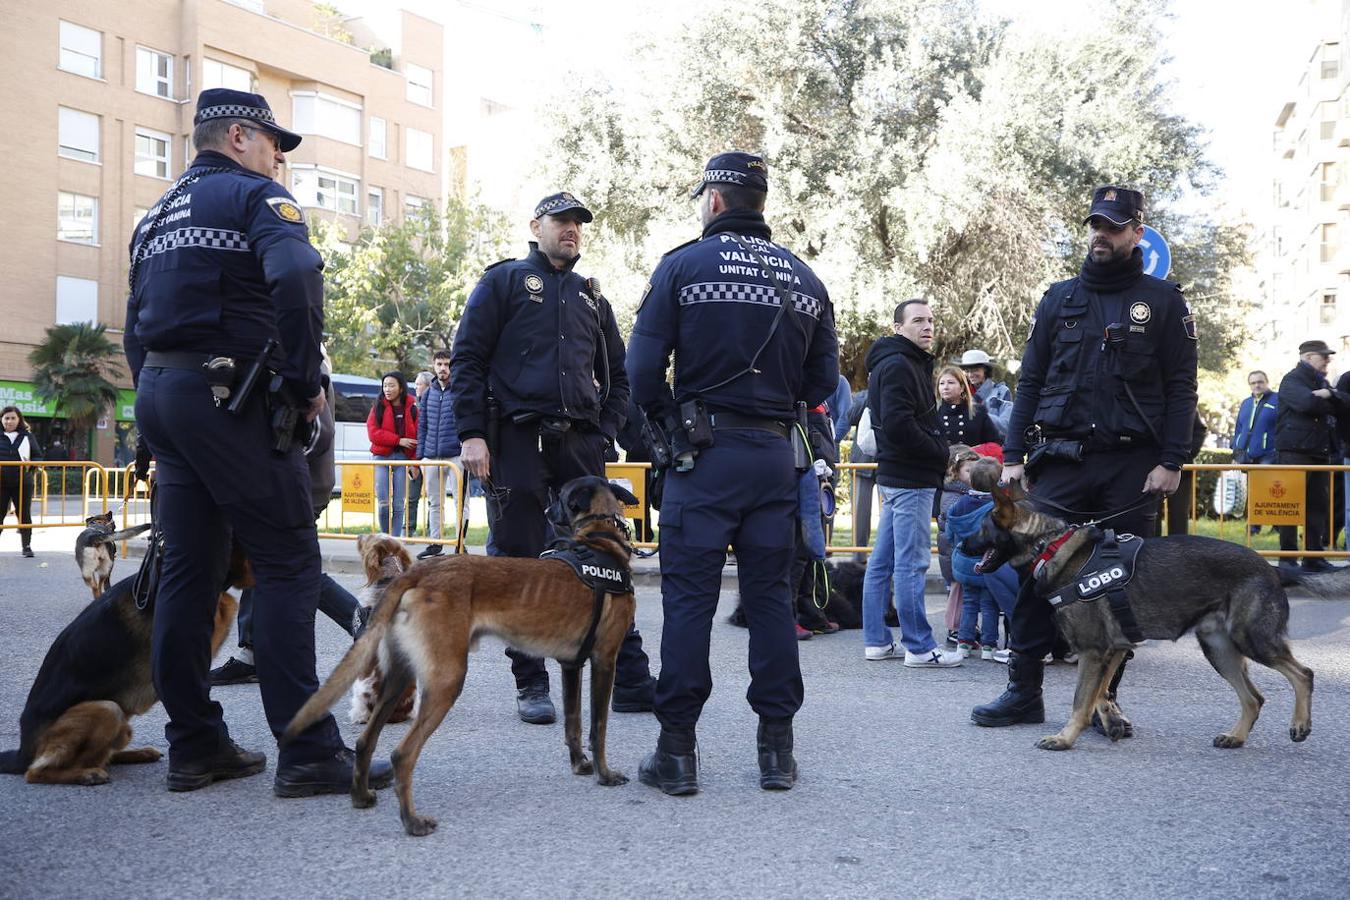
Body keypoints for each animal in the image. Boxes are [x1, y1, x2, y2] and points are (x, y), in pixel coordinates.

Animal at [0, 545, 248, 782]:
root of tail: (22, 752)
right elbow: (225, 603)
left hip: (121, 728)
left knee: (104, 757)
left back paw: (136, 754)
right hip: (107, 709)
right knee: (36, 772)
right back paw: (86, 774)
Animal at [966, 485, 1312, 755]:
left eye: (980, 529)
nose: (959, 542)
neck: (1050, 546)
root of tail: (1272, 569)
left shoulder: (1092, 650)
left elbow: (1081, 699)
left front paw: (1065, 738)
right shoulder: (1115, 647)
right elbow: (1101, 692)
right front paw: (1111, 721)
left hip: (1252, 640)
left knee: (1303, 674)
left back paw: (1299, 724)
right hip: (1219, 650)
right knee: (1254, 698)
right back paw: (1235, 737)